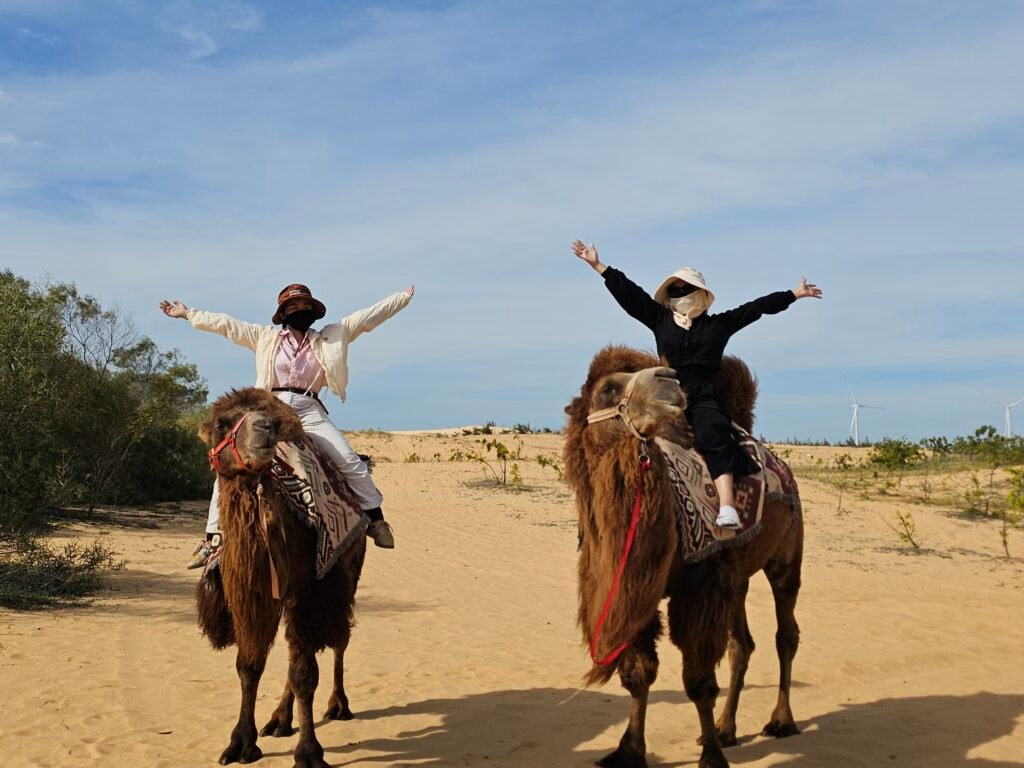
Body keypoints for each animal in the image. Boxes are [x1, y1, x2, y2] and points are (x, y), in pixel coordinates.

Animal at [195, 387, 366, 768]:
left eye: (272, 422)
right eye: (222, 423)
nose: (265, 429)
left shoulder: (308, 586)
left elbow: (305, 674)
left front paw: (309, 752)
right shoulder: (257, 591)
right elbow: (249, 664)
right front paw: (241, 743)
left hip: (349, 572)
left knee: (339, 639)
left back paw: (338, 705)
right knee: (295, 649)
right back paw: (279, 720)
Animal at [564, 346, 803, 768]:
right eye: (608, 388)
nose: (669, 381)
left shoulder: (698, 587)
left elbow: (698, 681)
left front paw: (711, 757)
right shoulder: (634, 591)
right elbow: (639, 674)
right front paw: (629, 751)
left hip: (787, 555)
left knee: (785, 634)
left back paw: (780, 721)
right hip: (736, 578)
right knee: (742, 644)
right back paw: (726, 729)